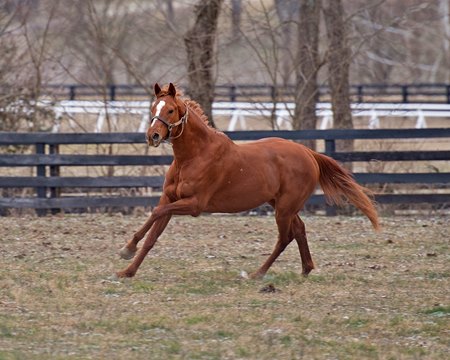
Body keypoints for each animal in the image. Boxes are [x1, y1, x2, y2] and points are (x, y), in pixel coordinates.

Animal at [117, 83, 380, 278]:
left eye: (170, 110)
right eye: (153, 107)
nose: (152, 136)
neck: (193, 156)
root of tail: (309, 154)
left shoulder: (194, 205)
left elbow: (156, 213)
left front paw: (127, 250)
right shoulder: (170, 198)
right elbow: (153, 233)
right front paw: (127, 267)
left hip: (284, 208)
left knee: (285, 237)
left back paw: (257, 274)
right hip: (281, 204)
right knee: (299, 229)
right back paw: (306, 269)